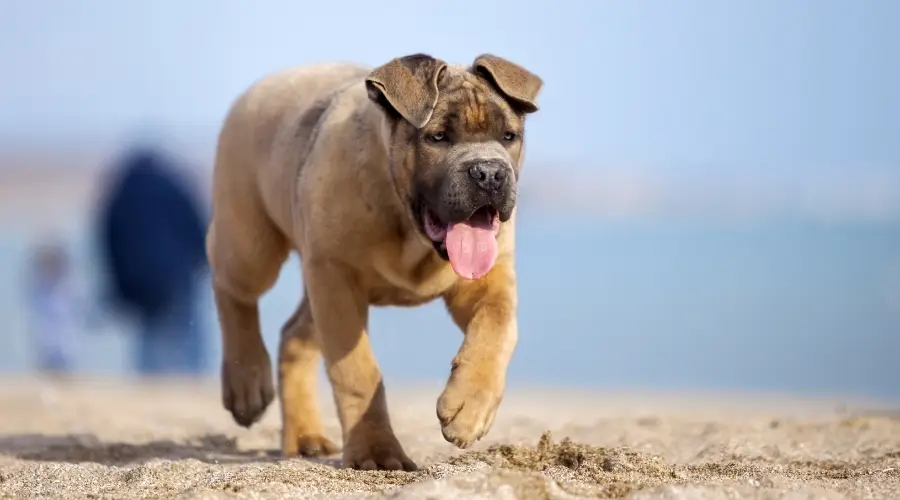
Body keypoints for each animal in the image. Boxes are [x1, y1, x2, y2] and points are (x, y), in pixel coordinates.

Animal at [206, 52, 540, 470]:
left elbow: (497, 328)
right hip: (253, 244)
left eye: (509, 137)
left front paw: (469, 407)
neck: (408, 226)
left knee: (293, 335)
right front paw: (377, 453)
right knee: (232, 288)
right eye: (438, 137)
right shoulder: (337, 282)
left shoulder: (487, 280)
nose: (490, 173)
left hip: (311, 279)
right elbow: (358, 372)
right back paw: (246, 382)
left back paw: (304, 438)